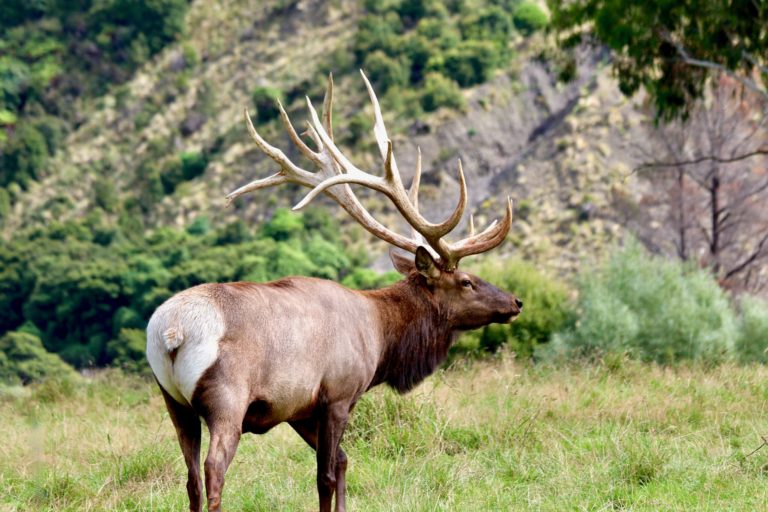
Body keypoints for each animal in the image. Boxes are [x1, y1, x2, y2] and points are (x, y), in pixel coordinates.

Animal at [146, 71, 523, 512]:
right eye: (467, 281)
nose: (515, 301)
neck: (380, 338)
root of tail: (172, 331)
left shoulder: (298, 409)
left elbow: (342, 461)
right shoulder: (339, 393)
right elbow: (325, 473)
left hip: (173, 400)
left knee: (190, 477)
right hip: (226, 397)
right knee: (213, 469)